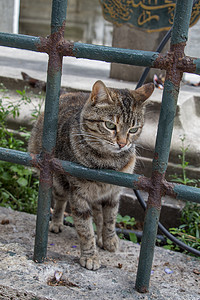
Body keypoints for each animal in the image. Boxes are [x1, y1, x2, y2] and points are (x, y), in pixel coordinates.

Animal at [28, 81, 154, 270]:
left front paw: (109, 239)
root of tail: (68, 93)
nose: (122, 143)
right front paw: (90, 256)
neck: (108, 162)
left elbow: (110, 219)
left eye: (133, 129)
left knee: (98, 214)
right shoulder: (78, 195)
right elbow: (85, 230)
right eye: (110, 125)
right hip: (58, 182)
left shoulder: (113, 193)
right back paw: (56, 223)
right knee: (60, 202)